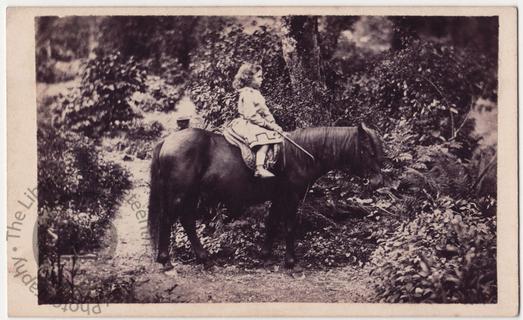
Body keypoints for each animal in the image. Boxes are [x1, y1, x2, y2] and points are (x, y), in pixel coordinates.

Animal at [147, 124, 384, 268]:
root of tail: (167, 141)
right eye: (368, 151)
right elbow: (288, 226)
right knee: (168, 219)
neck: (299, 155)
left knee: (187, 221)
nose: (378, 182)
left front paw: (266, 254)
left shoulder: (279, 197)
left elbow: (271, 223)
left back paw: (203, 257)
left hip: (191, 194)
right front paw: (290, 260)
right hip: (180, 193)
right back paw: (165, 259)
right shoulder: (290, 197)